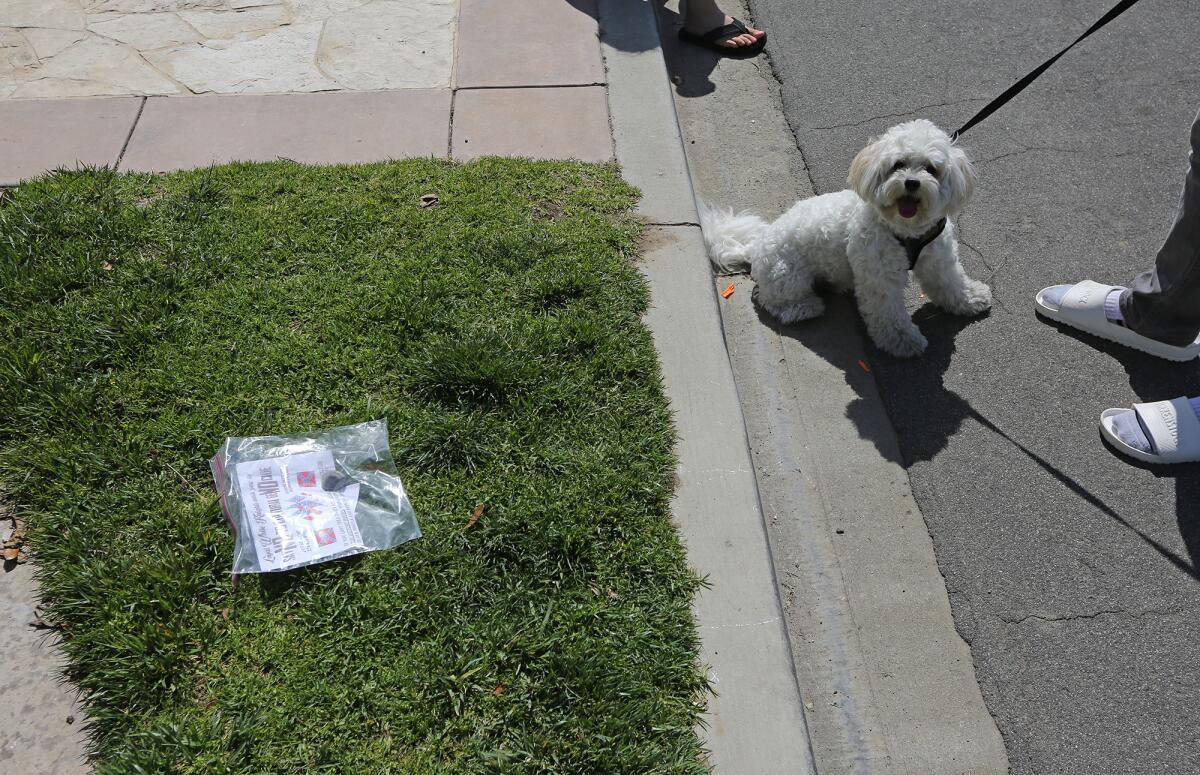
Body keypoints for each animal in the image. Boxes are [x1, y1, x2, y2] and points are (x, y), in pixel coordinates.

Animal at [700, 119, 988, 357]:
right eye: (898, 165)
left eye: (931, 168)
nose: (911, 183)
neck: (906, 230)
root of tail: (755, 246)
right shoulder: (879, 279)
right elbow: (889, 314)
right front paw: (903, 341)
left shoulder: (938, 260)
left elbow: (951, 283)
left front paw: (971, 298)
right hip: (787, 275)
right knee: (774, 302)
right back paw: (805, 307)